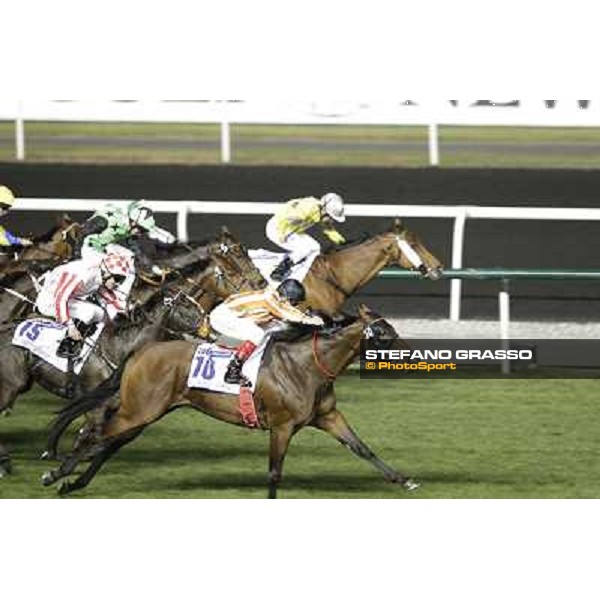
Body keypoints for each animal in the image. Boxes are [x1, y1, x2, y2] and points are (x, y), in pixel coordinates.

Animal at [43, 304, 418, 496]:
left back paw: (73, 483)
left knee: (107, 444)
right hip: (139, 411)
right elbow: (274, 473)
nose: (409, 356)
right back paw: (56, 474)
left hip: (145, 414)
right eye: (383, 333)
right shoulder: (282, 426)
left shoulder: (327, 417)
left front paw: (404, 479)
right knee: (94, 435)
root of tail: (141, 351)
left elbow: (362, 448)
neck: (307, 366)